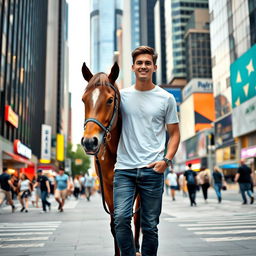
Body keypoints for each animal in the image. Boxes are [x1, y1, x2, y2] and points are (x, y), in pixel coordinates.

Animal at [80, 62, 140, 256]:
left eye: (110, 100)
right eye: (84, 100)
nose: (89, 142)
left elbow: (130, 219)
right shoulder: (107, 186)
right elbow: (115, 224)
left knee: (138, 217)